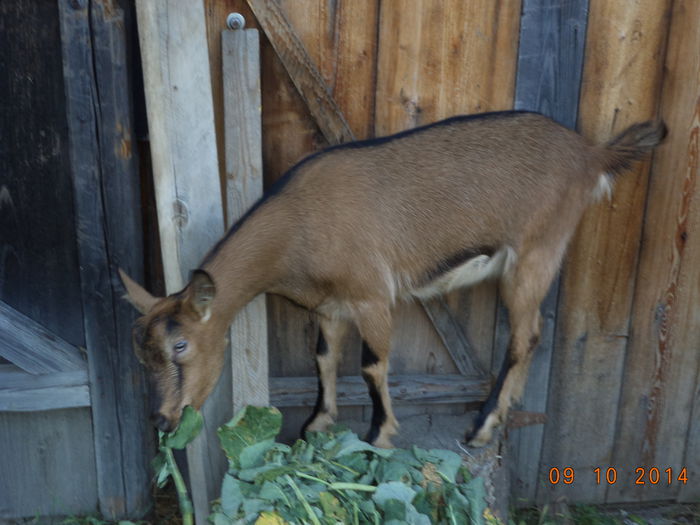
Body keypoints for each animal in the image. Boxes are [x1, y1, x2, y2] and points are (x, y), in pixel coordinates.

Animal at [121, 110, 668, 446]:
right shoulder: (331, 306)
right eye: (139, 350)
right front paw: (316, 424)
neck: (300, 224)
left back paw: (482, 426)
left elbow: (372, 365)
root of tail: (591, 156)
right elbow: (324, 359)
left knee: (525, 334)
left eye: (180, 346)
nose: (162, 420)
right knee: (529, 336)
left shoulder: (372, 297)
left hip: (536, 252)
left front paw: (378, 434)